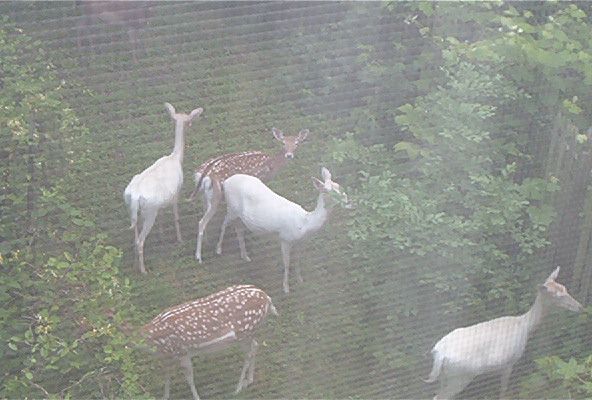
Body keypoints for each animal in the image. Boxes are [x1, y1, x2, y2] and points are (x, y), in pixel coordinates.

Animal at [123, 101, 204, 274]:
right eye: (188, 120)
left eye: (183, 119)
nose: (190, 125)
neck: (176, 158)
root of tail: (134, 195)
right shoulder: (177, 192)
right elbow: (176, 216)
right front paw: (180, 239)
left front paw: (161, 234)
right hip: (149, 211)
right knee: (140, 241)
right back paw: (144, 270)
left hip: (132, 209)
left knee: (134, 235)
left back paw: (135, 264)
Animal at [142, 284, 278, 400]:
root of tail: (267, 298)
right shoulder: (168, 357)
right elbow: (167, 375)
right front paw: (165, 396)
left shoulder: (182, 352)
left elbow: (189, 379)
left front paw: (197, 397)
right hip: (247, 334)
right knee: (255, 345)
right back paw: (249, 381)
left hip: (244, 333)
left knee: (249, 352)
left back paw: (238, 388)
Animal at [193, 127, 310, 262]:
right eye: (283, 143)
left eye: (296, 143)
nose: (289, 155)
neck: (271, 165)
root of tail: (202, 174)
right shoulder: (260, 179)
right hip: (216, 195)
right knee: (202, 222)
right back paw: (199, 256)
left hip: (205, 195)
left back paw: (207, 243)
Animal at [217, 166, 350, 294]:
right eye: (329, 191)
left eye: (340, 187)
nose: (348, 202)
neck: (304, 224)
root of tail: (226, 181)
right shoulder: (285, 239)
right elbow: (287, 263)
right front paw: (286, 288)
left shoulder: (301, 242)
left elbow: (297, 260)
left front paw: (300, 280)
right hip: (232, 208)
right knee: (223, 223)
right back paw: (219, 249)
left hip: (240, 216)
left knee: (238, 229)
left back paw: (245, 256)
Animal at [426, 268, 584, 398]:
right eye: (558, 295)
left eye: (565, 288)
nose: (579, 307)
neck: (525, 326)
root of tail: (439, 353)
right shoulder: (510, 361)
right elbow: (503, 389)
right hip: (461, 375)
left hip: (445, 376)